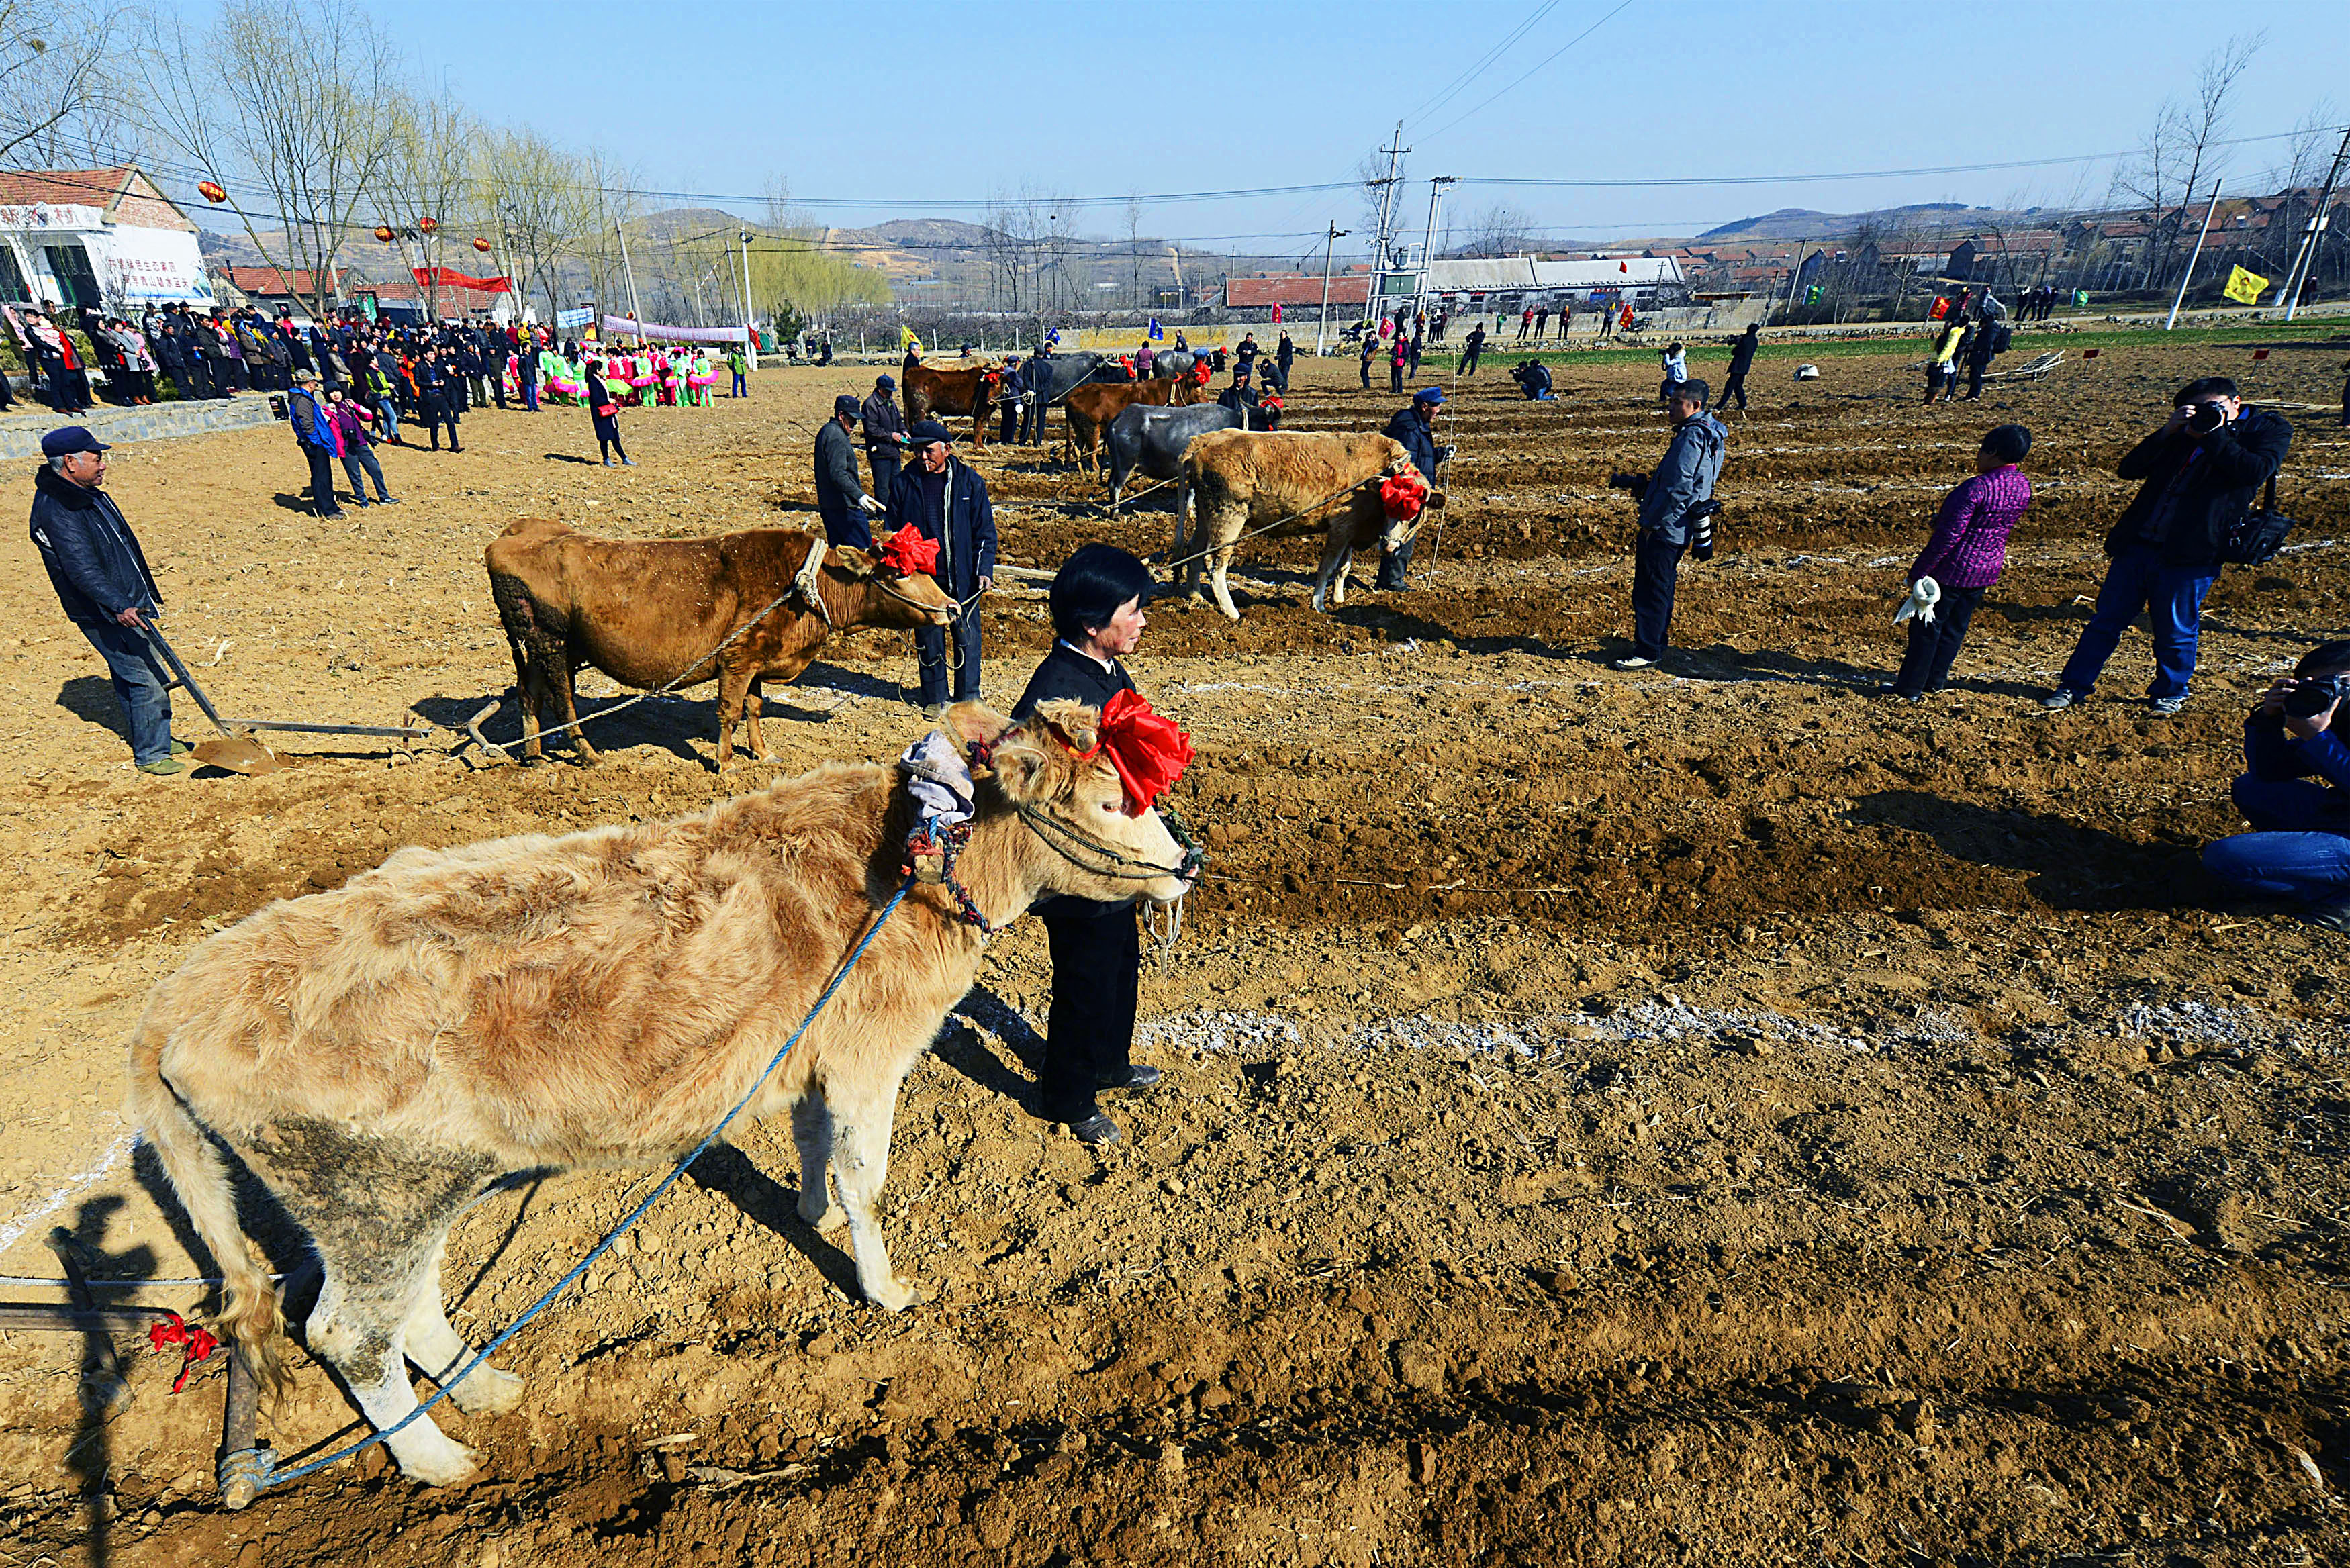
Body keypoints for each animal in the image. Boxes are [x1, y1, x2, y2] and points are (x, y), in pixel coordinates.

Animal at [126, 700, 1194, 1485]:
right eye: (1109, 800)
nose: (1186, 861)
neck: (917, 850)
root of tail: (179, 998)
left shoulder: (812, 1053)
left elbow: (813, 1144)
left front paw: (809, 1210)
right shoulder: (870, 1052)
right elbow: (866, 1173)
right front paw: (883, 1284)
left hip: (404, 1196)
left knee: (410, 1306)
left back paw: (479, 1388)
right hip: (376, 1195)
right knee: (348, 1334)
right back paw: (435, 1456)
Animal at [486, 524, 954, 771]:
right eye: (899, 572)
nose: (951, 607)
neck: (802, 584)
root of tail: (509, 538)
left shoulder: (756, 662)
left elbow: (754, 708)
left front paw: (762, 753)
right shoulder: (736, 659)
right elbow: (729, 710)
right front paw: (725, 762)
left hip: (536, 648)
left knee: (529, 696)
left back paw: (533, 756)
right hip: (551, 644)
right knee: (563, 700)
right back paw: (588, 755)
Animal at [898, 364, 1001, 446]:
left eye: (1002, 383)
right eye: (994, 383)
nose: (991, 399)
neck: (982, 385)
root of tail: (911, 372)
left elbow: (980, 429)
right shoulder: (979, 414)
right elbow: (977, 430)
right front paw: (978, 447)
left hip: (909, 408)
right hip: (919, 410)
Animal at [1067, 373, 1213, 472]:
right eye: (1199, 386)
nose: (1207, 401)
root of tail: (1074, 393)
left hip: (1080, 429)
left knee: (1077, 449)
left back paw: (1082, 470)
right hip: (1092, 428)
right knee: (1091, 450)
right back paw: (1096, 468)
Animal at [1170, 434, 1438, 625]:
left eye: (1414, 514)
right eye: (1391, 503)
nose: (1390, 546)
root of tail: (1205, 440)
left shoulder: (1351, 530)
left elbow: (1343, 568)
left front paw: (1339, 598)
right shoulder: (1340, 527)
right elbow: (1327, 568)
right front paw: (1319, 604)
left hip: (1206, 517)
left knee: (1194, 551)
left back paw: (1196, 596)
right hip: (1228, 517)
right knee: (1215, 564)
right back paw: (1231, 611)